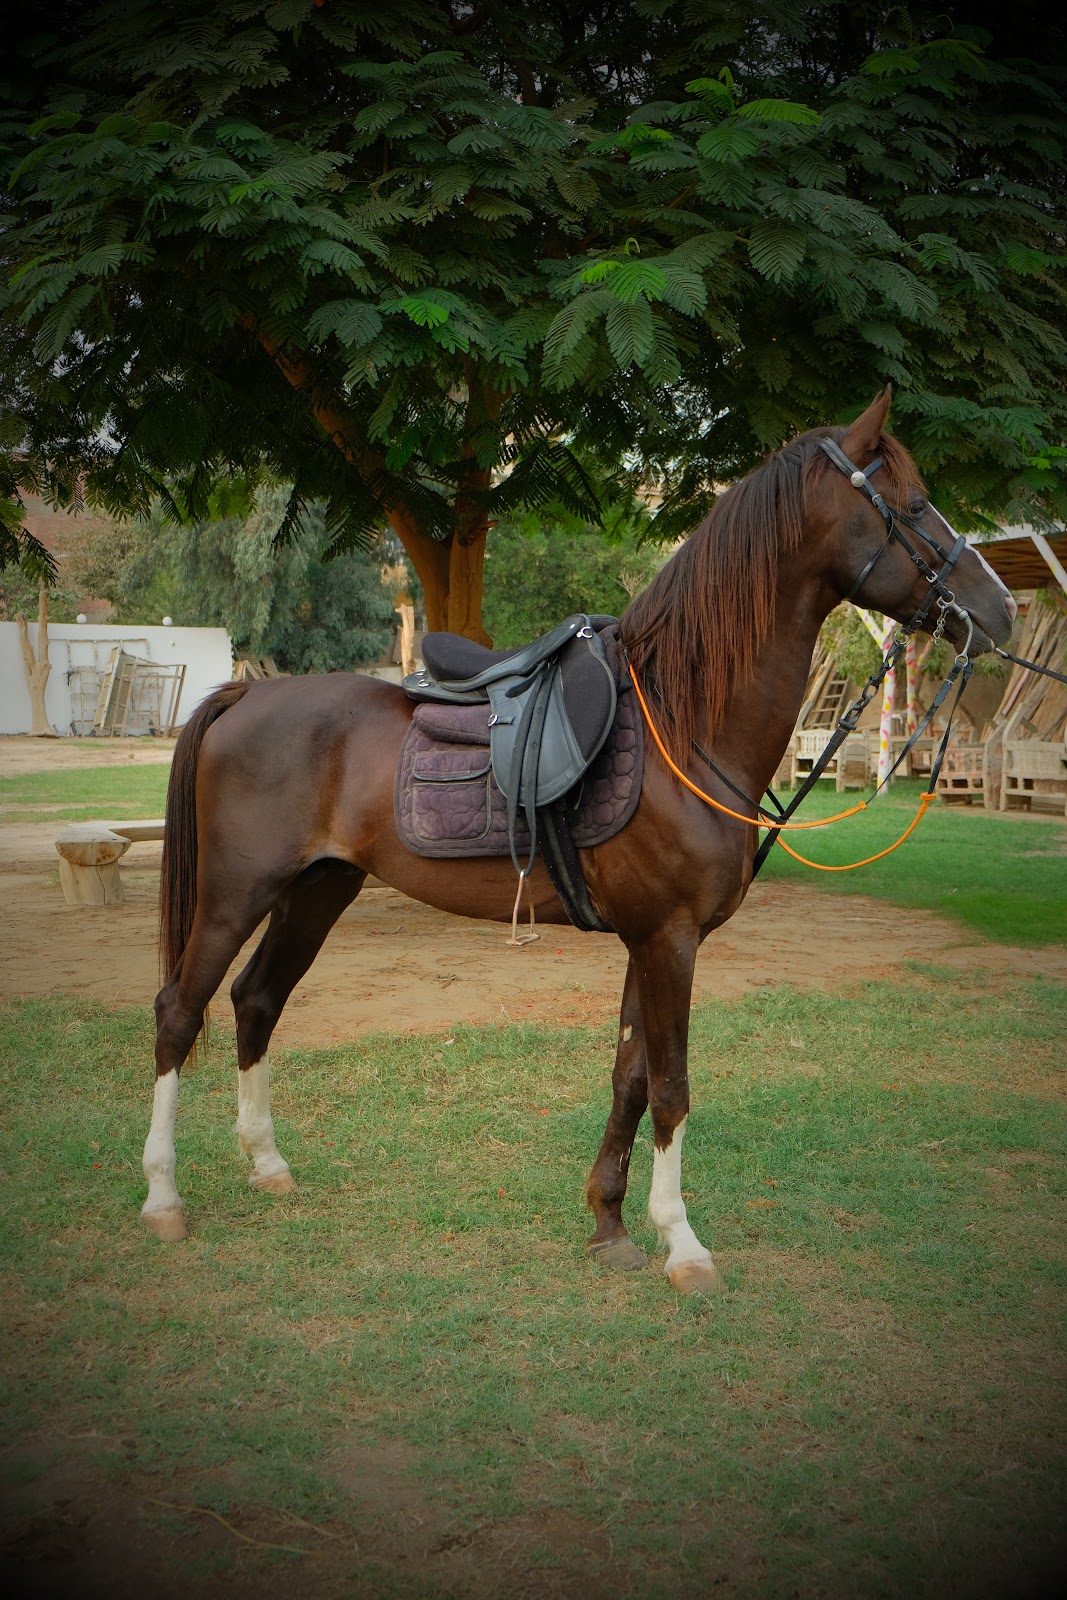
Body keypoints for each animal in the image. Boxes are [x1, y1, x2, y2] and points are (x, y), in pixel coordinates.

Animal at [141, 388, 1016, 1292]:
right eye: (914, 505)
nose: (1001, 613)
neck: (683, 721)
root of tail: (244, 694)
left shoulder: (649, 938)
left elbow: (629, 1077)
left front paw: (610, 1222)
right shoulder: (670, 939)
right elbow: (670, 1087)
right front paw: (682, 1243)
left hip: (317, 889)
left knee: (257, 1000)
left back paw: (267, 1165)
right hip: (234, 894)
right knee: (179, 1012)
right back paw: (163, 1199)